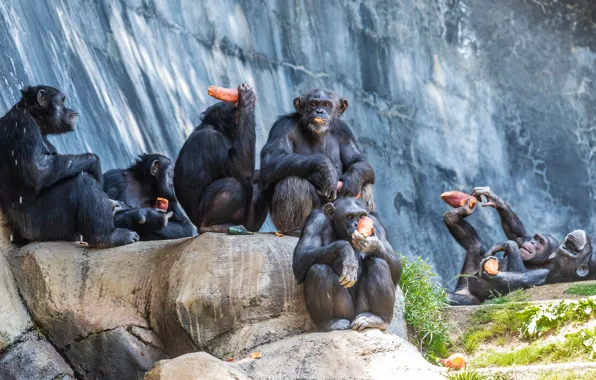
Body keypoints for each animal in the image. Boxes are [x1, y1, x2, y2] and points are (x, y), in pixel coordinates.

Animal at [0, 85, 139, 248]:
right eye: (62, 101)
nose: (70, 109)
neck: (34, 117)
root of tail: (22, 238)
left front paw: (114, 203)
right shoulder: (22, 125)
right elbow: (38, 169)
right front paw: (95, 163)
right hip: (43, 227)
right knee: (82, 181)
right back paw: (108, 237)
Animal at [172, 83, 266, 233]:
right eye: (236, 110)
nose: (239, 110)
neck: (220, 129)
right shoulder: (211, 140)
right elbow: (241, 169)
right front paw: (247, 98)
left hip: (242, 220)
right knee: (234, 183)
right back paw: (212, 226)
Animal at [260, 89, 374, 236]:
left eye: (327, 104)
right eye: (313, 104)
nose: (319, 111)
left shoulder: (345, 132)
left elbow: (357, 160)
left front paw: (352, 181)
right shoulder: (282, 126)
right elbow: (272, 158)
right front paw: (326, 168)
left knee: (365, 183)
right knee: (293, 180)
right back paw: (296, 228)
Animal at [294, 197, 400, 332]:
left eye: (362, 216)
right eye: (349, 216)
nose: (356, 224)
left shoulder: (377, 224)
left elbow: (396, 265)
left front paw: (373, 244)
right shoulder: (315, 220)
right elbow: (301, 257)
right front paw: (346, 249)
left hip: (361, 310)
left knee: (378, 262)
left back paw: (379, 319)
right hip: (344, 310)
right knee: (318, 270)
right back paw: (329, 323)